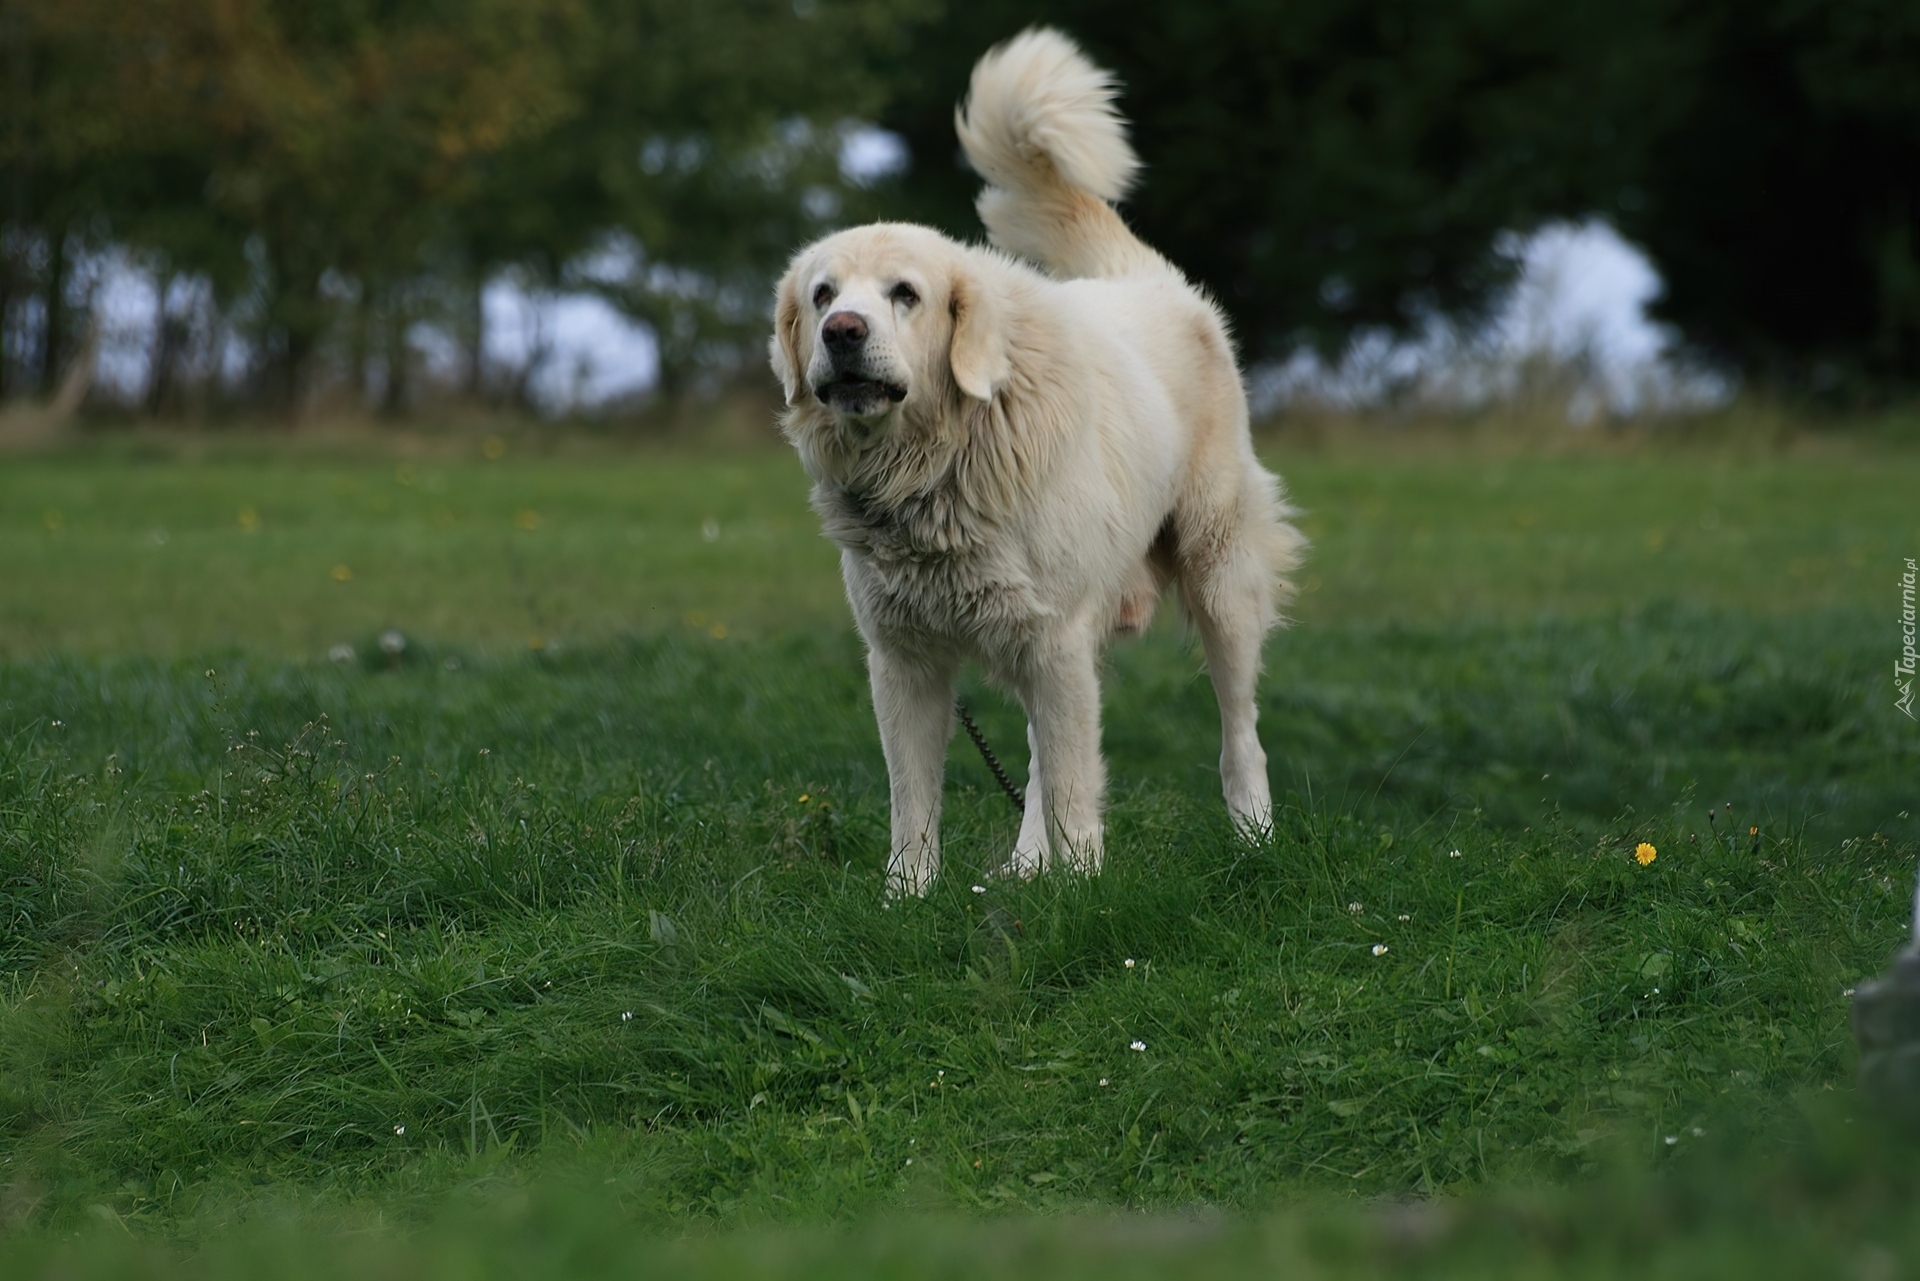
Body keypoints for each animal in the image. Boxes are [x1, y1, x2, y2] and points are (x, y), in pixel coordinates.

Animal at [764, 27, 1305, 891]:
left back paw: (1254, 838)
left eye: (904, 294)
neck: (935, 463)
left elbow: (1077, 784)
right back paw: (1024, 863)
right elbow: (914, 800)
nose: (844, 331)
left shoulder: (1055, 642)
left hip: (1219, 577)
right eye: (821, 295)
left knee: (1238, 729)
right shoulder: (906, 660)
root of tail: (1143, 274)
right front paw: (906, 898)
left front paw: (1082, 892)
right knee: (1038, 758)